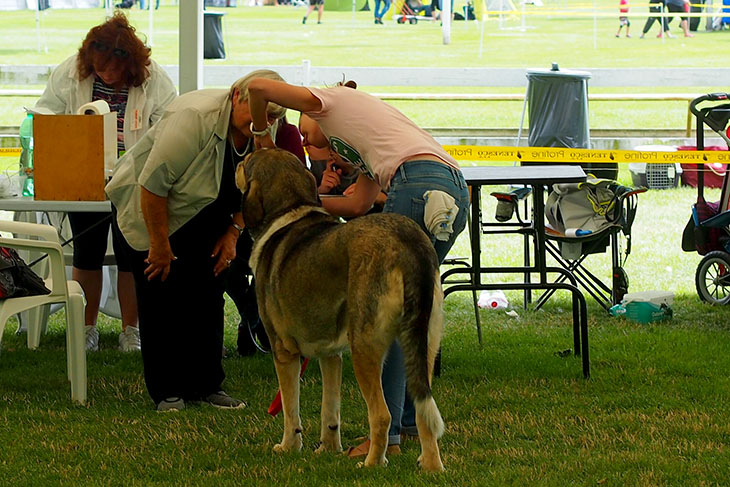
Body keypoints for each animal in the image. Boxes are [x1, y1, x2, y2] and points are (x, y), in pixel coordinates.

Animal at [237, 150, 444, 472]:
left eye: (247, 162)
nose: (236, 160)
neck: (290, 209)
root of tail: (408, 242)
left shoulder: (283, 351)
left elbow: (290, 410)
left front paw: (289, 447)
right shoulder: (331, 355)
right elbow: (330, 410)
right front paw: (328, 449)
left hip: (365, 347)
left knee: (382, 415)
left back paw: (372, 464)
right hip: (424, 344)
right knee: (424, 411)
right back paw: (432, 467)